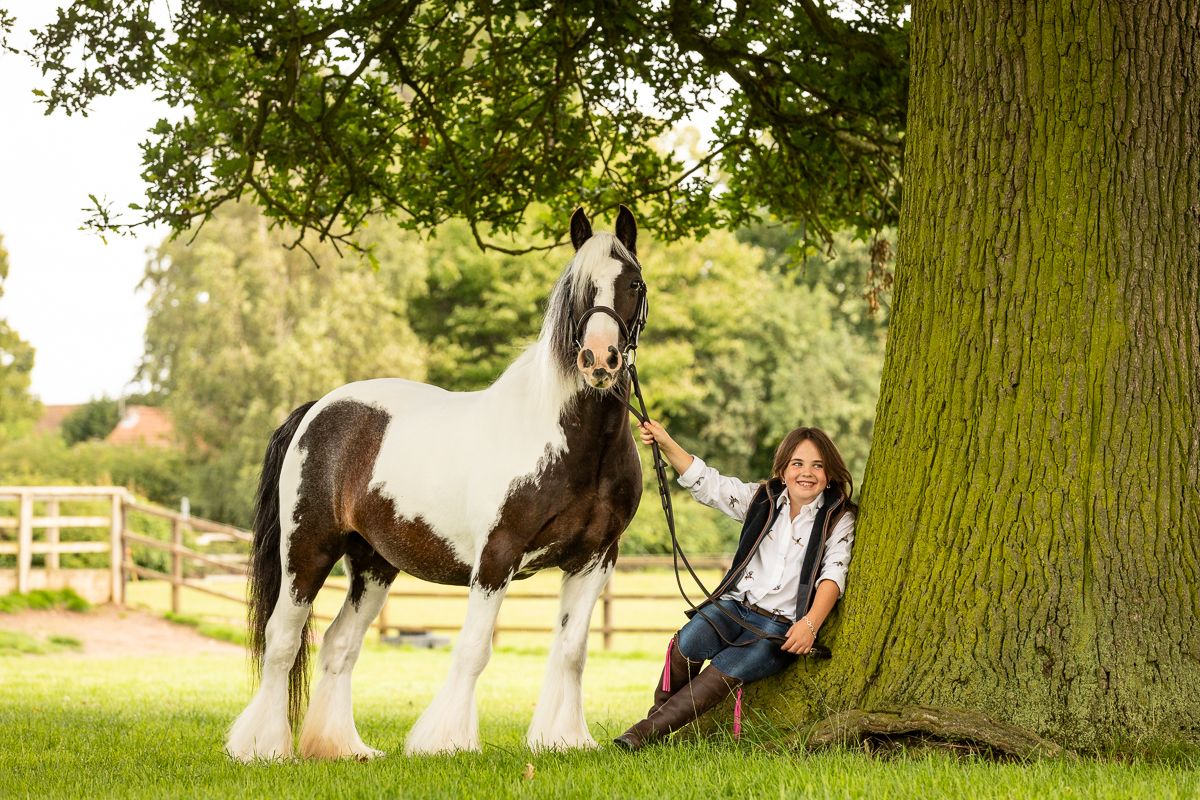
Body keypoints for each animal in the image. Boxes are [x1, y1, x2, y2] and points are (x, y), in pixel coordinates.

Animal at [224, 206, 647, 760]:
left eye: (634, 283)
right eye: (576, 288)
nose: (599, 360)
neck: (570, 443)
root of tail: (317, 410)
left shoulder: (594, 558)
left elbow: (571, 650)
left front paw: (563, 739)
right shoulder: (497, 557)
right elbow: (473, 649)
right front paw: (446, 741)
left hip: (373, 563)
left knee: (340, 644)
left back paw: (343, 748)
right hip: (307, 549)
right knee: (283, 640)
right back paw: (263, 747)